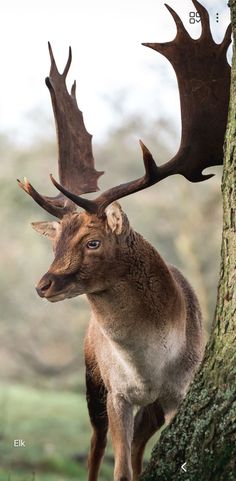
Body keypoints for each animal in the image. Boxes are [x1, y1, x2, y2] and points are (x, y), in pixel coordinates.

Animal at [18, 0, 230, 480]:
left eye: (93, 242)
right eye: (55, 242)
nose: (43, 285)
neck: (150, 366)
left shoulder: (179, 391)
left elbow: (139, 458)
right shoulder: (117, 392)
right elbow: (120, 468)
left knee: (131, 447)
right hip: (90, 377)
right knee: (96, 445)